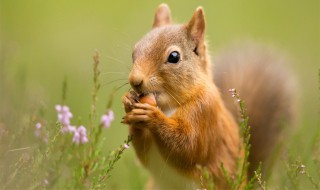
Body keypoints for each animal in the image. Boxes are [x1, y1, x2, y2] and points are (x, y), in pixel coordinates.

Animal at [122, 3, 296, 190]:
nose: (135, 80)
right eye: (134, 52)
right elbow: (143, 152)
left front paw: (152, 116)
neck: (168, 106)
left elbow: (188, 147)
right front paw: (128, 101)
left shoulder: (204, 112)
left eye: (174, 57)